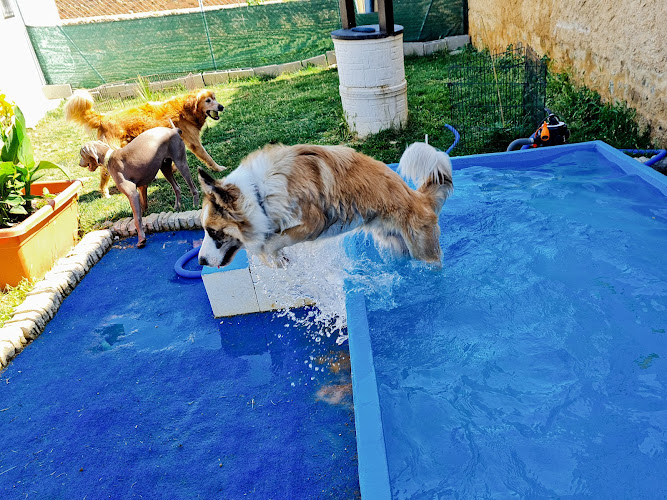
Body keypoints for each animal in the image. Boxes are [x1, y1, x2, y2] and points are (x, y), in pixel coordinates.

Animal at [66, 89, 226, 198]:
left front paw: (173, 169)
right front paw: (218, 168)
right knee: (104, 176)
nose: (222, 107)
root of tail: (103, 117)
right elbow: (207, 157)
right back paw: (105, 193)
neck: (186, 109)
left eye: (215, 98)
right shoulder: (193, 142)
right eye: (208, 100)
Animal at [196, 143, 452, 268]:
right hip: (396, 245)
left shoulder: (314, 222)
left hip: (423, 250)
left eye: (213, 232)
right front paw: (278, 259)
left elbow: (272, 242)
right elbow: (275, 240)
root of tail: (419, 198)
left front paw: (269, 255)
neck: (258, 194)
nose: (201, 261)